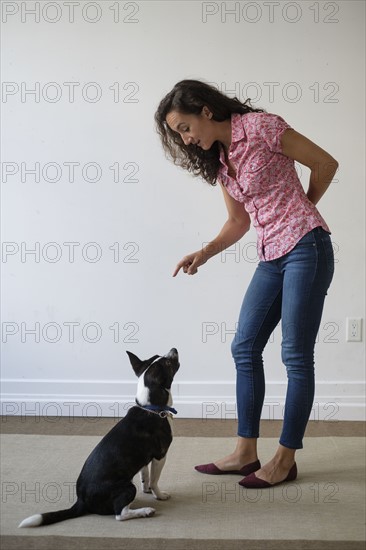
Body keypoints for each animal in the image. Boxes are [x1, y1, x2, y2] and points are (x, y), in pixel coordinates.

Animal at [19, 350, 179, 532]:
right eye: (168, 363)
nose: (174, 349)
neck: (151, 408)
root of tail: (81, 500)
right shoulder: (160, 456)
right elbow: (155, 480)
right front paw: (159, 495)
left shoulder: (145, 458)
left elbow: (145, 474)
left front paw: (146, 489)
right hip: (127, 487)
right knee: (120, 514)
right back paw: (145, 511)